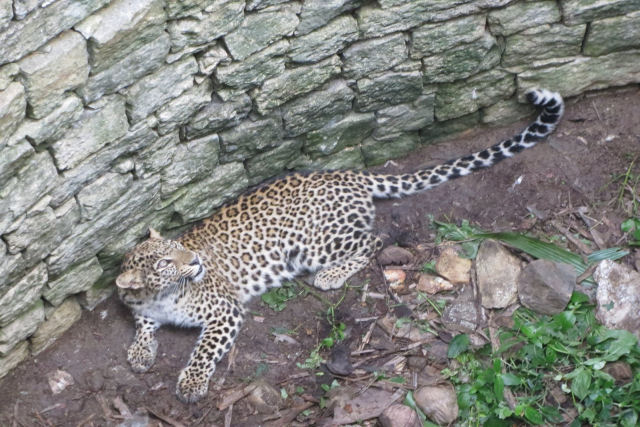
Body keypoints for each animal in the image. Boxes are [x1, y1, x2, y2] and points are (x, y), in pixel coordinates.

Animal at [117, 88, 564, 402]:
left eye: (178, 247)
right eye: (163, 261)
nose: (194, 260)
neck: (163, 296)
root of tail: (347, 174)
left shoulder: (223, 312)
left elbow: (204, 350)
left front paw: (191, 384)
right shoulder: (141, 307)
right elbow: (142, 325)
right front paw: (139, 353)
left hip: (312, 244)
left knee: (374, 238)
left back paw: (331, 275)